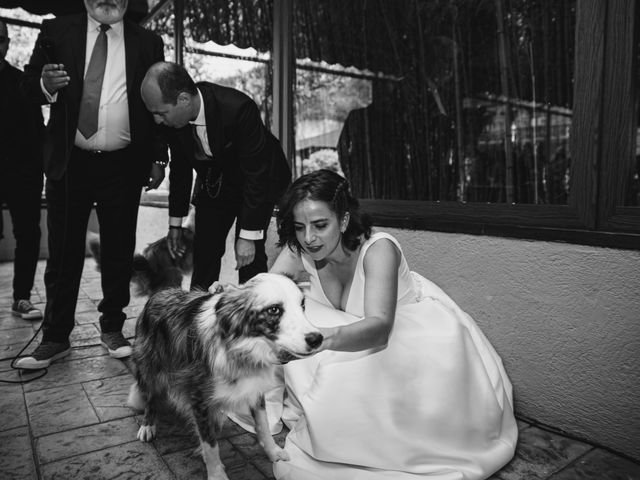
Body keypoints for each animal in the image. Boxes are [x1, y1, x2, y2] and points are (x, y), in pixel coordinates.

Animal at [127, 274, 322, 480]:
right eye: (274, 309)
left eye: (302, 305)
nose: (317, 338)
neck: (242, 348)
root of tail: (160, 292)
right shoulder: (198, 399)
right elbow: (210, 445)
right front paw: (216, 475)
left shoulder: (255, 389)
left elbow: (263, 425)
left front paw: (273, 452)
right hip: (151, 370)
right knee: (151, 397)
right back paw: (148, 426)